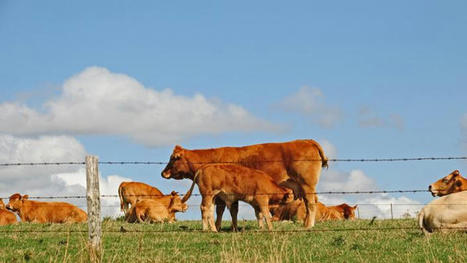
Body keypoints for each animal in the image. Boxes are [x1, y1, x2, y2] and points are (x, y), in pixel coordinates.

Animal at [161, 140, 330, 229]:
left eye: (173, 158)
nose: (163, 173)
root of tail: (308, 141)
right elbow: (227, 211)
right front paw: (226, 227)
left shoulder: (223, 195)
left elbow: (223, 210)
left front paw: (220, 227)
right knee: (309, 203)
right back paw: (306, 224)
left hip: (307, 185)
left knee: (311, 203)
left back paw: (309, 225)